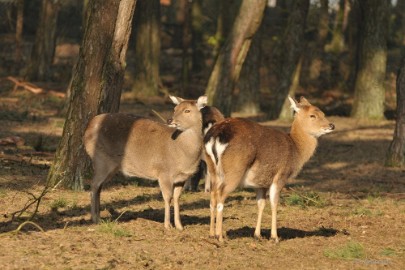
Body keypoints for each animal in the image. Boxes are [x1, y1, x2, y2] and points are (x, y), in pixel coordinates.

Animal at [83, 94, 207, 230]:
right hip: (101, 159)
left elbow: (177, 198)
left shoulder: (181, 178)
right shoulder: (164, 172)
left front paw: (179, 226)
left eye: (187, 110)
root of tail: (88, 127)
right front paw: (167, 226)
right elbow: (167, 197)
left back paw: (98, 217)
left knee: (99, 187)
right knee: (94, 185)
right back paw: (95, 219)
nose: (170, 120)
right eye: (175, 109)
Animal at [205, 96, 334, 243]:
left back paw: (211, 234)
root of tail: (216, 135)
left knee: (213, 196)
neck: (296, 149)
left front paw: (257, 235)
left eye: (323, 113)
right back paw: (220, 236)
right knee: (221, 195)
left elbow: (261, 204)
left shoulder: (261, 183)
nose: (331, 125)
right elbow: (274, 203)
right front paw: (275, 237)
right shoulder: (280, 176)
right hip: (234, 171)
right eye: (312, 115)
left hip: (212, 169)